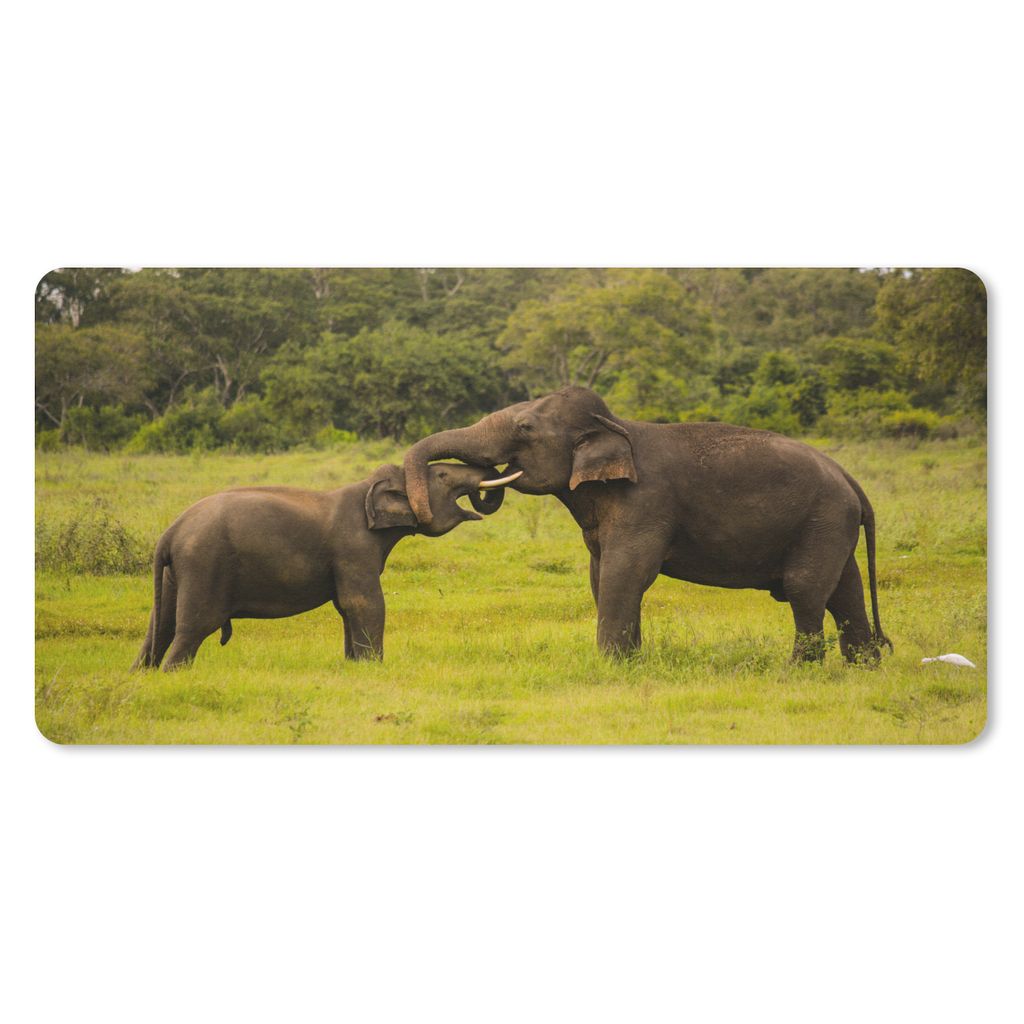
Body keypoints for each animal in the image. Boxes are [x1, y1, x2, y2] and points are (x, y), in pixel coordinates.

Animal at [131, 462, 518, 670]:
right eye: (441, 475)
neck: (366, 488)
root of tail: (170, 532)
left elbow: (346, 607)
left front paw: (354, 666)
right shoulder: (354, 546)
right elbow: (363, 603)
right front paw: (374, 668)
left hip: (174, 574)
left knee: (160, 626)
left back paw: (142, 675)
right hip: (205, 564)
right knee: (193, 628)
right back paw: (171, 676)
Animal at [403, 386, 891, 664]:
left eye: (524, 426)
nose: (426, 511)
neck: (616, 426)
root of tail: (850, 479)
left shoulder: (646, 501)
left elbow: (628, 572)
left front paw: (608, 667)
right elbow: (600, 575)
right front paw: (630, 664)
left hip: (823, 518)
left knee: (805, 589)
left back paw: (797, 671)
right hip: (829, 525)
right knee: (843, 589)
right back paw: (864, 668)